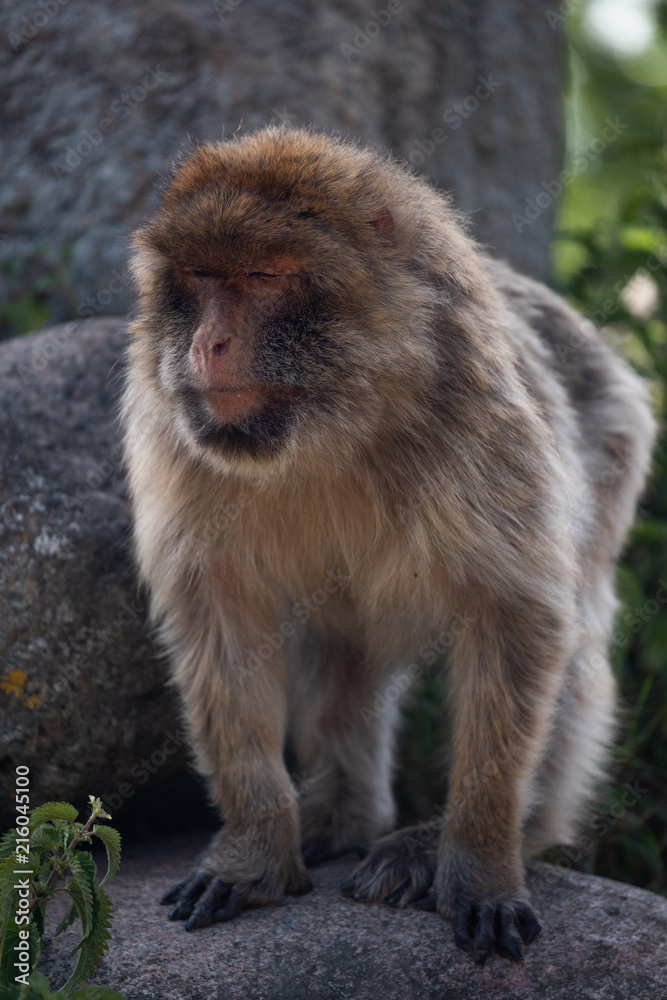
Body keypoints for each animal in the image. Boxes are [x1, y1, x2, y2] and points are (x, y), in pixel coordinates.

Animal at [121, 127, 656, 963]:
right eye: (202, 277)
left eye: (264, 276)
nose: (208, 343)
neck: (331, 423)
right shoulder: (172, 426)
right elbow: (220, 621)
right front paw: (253, 849)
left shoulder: (473, 410)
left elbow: (518, 619)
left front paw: (478, 862)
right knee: (338, 639)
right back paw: (344, 814)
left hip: (613, 440)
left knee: (568, 632)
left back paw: (486, 836)